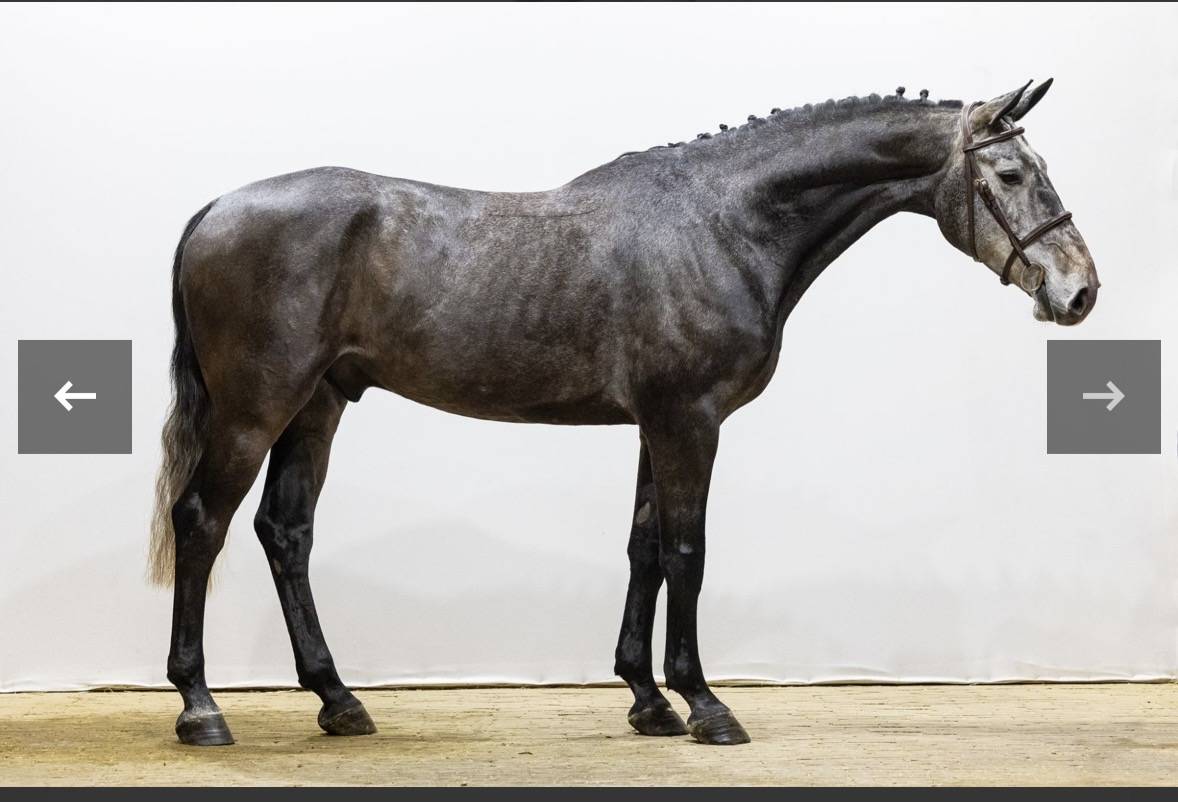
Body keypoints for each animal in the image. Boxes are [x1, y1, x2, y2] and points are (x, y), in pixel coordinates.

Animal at [150, 80, 1099, 747]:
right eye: (1011, 173)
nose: (1080, 290)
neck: (722, 224)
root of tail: (214, 211)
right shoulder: (689, 420)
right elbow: (687, 550)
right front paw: (705, 703)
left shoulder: (656, 423)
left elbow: (644, 546)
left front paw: (646, 700)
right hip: (255, 410)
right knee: (202, 522)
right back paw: (201, 708)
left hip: (317, 405)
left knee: (285, 532)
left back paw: (339, 700)